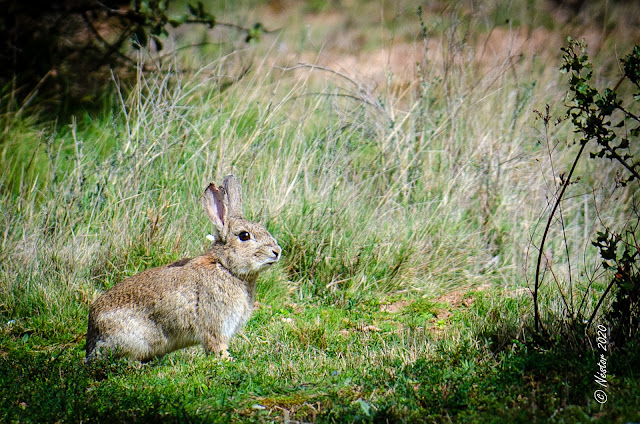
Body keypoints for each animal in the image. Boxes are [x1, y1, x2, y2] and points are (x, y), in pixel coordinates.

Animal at [86, 174, 282, 362]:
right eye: (244, 236)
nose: (277, 251)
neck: (226, 267)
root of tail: (92, 341)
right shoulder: (215, 324)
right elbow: (216, 345)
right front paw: (227, 360)